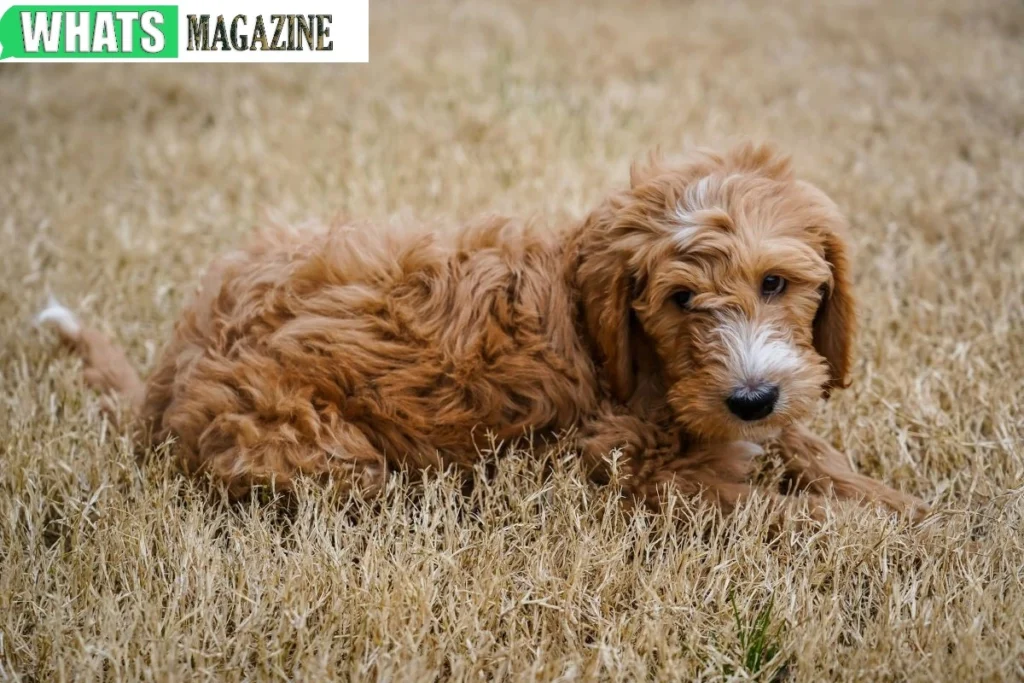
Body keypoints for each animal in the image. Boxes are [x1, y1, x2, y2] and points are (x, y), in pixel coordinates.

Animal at [37, 141, 929, 520]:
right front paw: (882, 533)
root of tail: (174, 362)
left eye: (776, 283)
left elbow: (813, 452)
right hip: (317, 449)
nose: (749, 397)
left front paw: (911, 509)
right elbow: (781, 511)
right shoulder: (628, 467)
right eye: (680, 299)